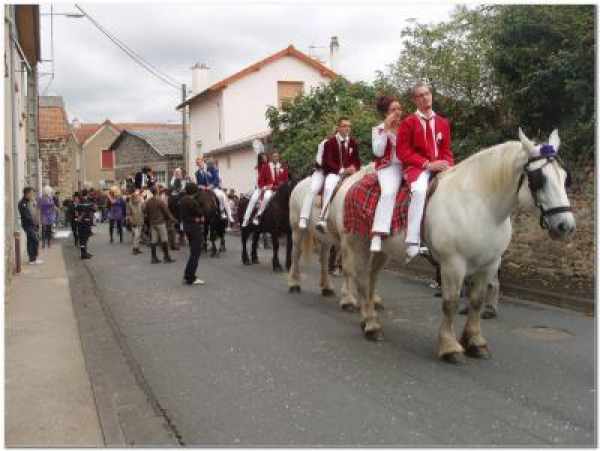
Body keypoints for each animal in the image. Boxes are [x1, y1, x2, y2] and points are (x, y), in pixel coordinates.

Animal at [288, 164, 380, 312]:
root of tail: (299, 184)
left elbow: (371, 271)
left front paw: (373, 299)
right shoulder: (347, 243)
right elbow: (348, 268)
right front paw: (348, 300)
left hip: (325, 238)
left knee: (324, 258)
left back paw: (327, 287)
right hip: (297, 231)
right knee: (296, 254)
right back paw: (294, 283)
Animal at [340, 128, 576, 364]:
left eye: (565, 177)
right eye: (539, 179)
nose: (566, 226)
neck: (480, 204)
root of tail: (354, 182)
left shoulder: (489, 264)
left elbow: (477, 300)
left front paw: (475, 341)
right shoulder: (453, 264)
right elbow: (450, 302)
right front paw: (449, 346)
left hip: (382, 250)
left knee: (371, 278)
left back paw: (367, 318)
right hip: (358, 244)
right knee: (362, 280)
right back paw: (371, 326)